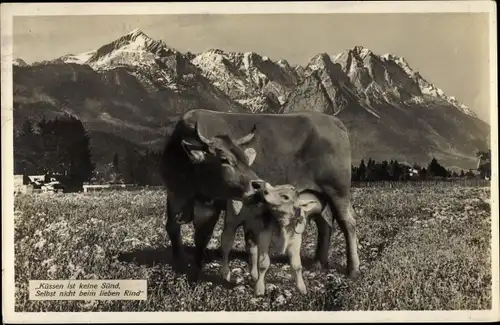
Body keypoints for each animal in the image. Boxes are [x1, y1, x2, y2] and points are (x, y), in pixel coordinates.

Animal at [160, 109, 360, 280]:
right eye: (224, 160)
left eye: (245, 158)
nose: (258, 184)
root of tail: (333, 120)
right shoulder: (174, 196)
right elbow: (172, 227)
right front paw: (179, 262)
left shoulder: (211, 204)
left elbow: (203, 234)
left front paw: (197, 269)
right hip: (318, 195)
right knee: (325, 222)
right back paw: (319, 262)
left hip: (338, 190)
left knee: (347, 223)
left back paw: (353, 268)